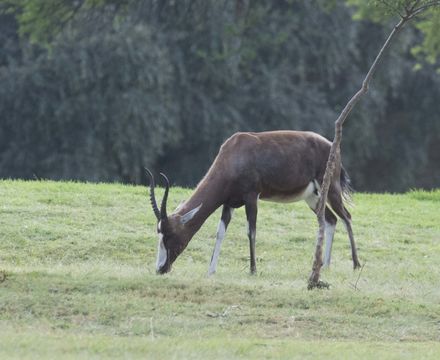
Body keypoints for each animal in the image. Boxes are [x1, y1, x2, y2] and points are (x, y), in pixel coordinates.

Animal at [148, 131, 360, 274]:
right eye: (159, 234)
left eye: (170, 235)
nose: (160, 269)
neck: (235, 152)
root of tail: (331, 145)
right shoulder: (228, 203)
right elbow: (220, 233)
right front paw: (211, 270)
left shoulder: (251, 198)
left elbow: (251, 231)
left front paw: (253, 269)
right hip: (312, 197)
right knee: (331, 219)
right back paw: (325, 265)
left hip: (330, 189)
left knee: (347, 217)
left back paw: (356, 265)